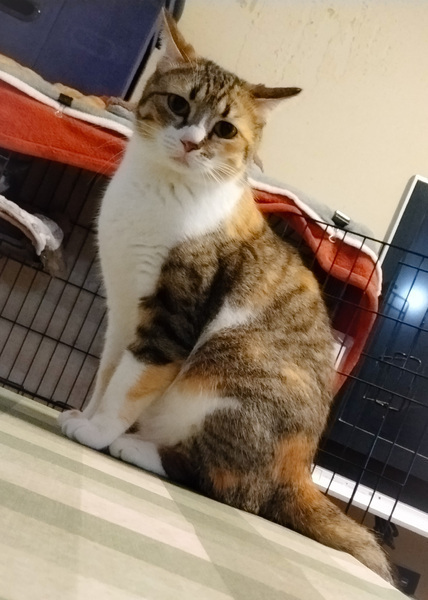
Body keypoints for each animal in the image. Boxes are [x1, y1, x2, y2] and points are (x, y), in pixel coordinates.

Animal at [59, 13, 392, 583]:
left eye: (225, 129)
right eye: (178, 105)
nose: (192, 143)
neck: (158, 193)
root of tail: (302, 472)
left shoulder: (173, 315)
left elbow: (130, 382)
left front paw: (99, 430)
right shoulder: (122, 306)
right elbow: (107, 374)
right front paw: (86, 413)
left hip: (229, 372)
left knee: (236, 491)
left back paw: (135, 447)